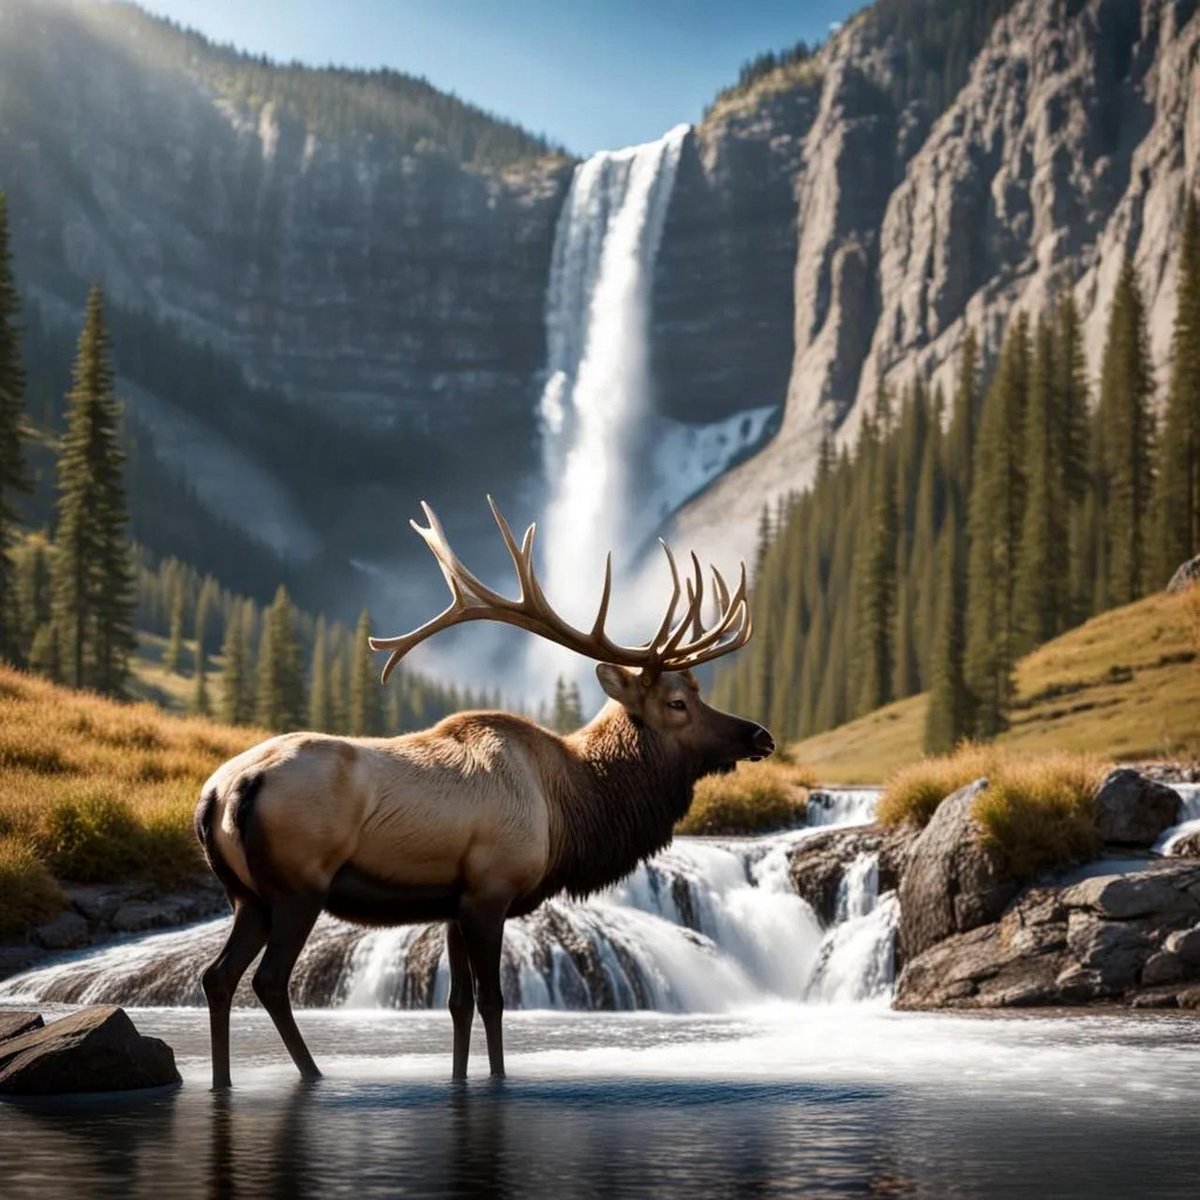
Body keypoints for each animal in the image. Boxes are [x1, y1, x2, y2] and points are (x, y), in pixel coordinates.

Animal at [194, 498, 773, 1088]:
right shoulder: (490, 891)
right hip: (297, 885)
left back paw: (224, 1080)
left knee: (217, 976)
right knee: (267, 980)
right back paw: (313, 1074)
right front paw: (497, 1077)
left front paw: (459, 1078)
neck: (570, 811)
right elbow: (493, 1001)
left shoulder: (454, 902)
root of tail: (224, 790)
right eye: (678, 702)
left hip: (247, 895)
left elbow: (458, 1004)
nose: (760, 736)